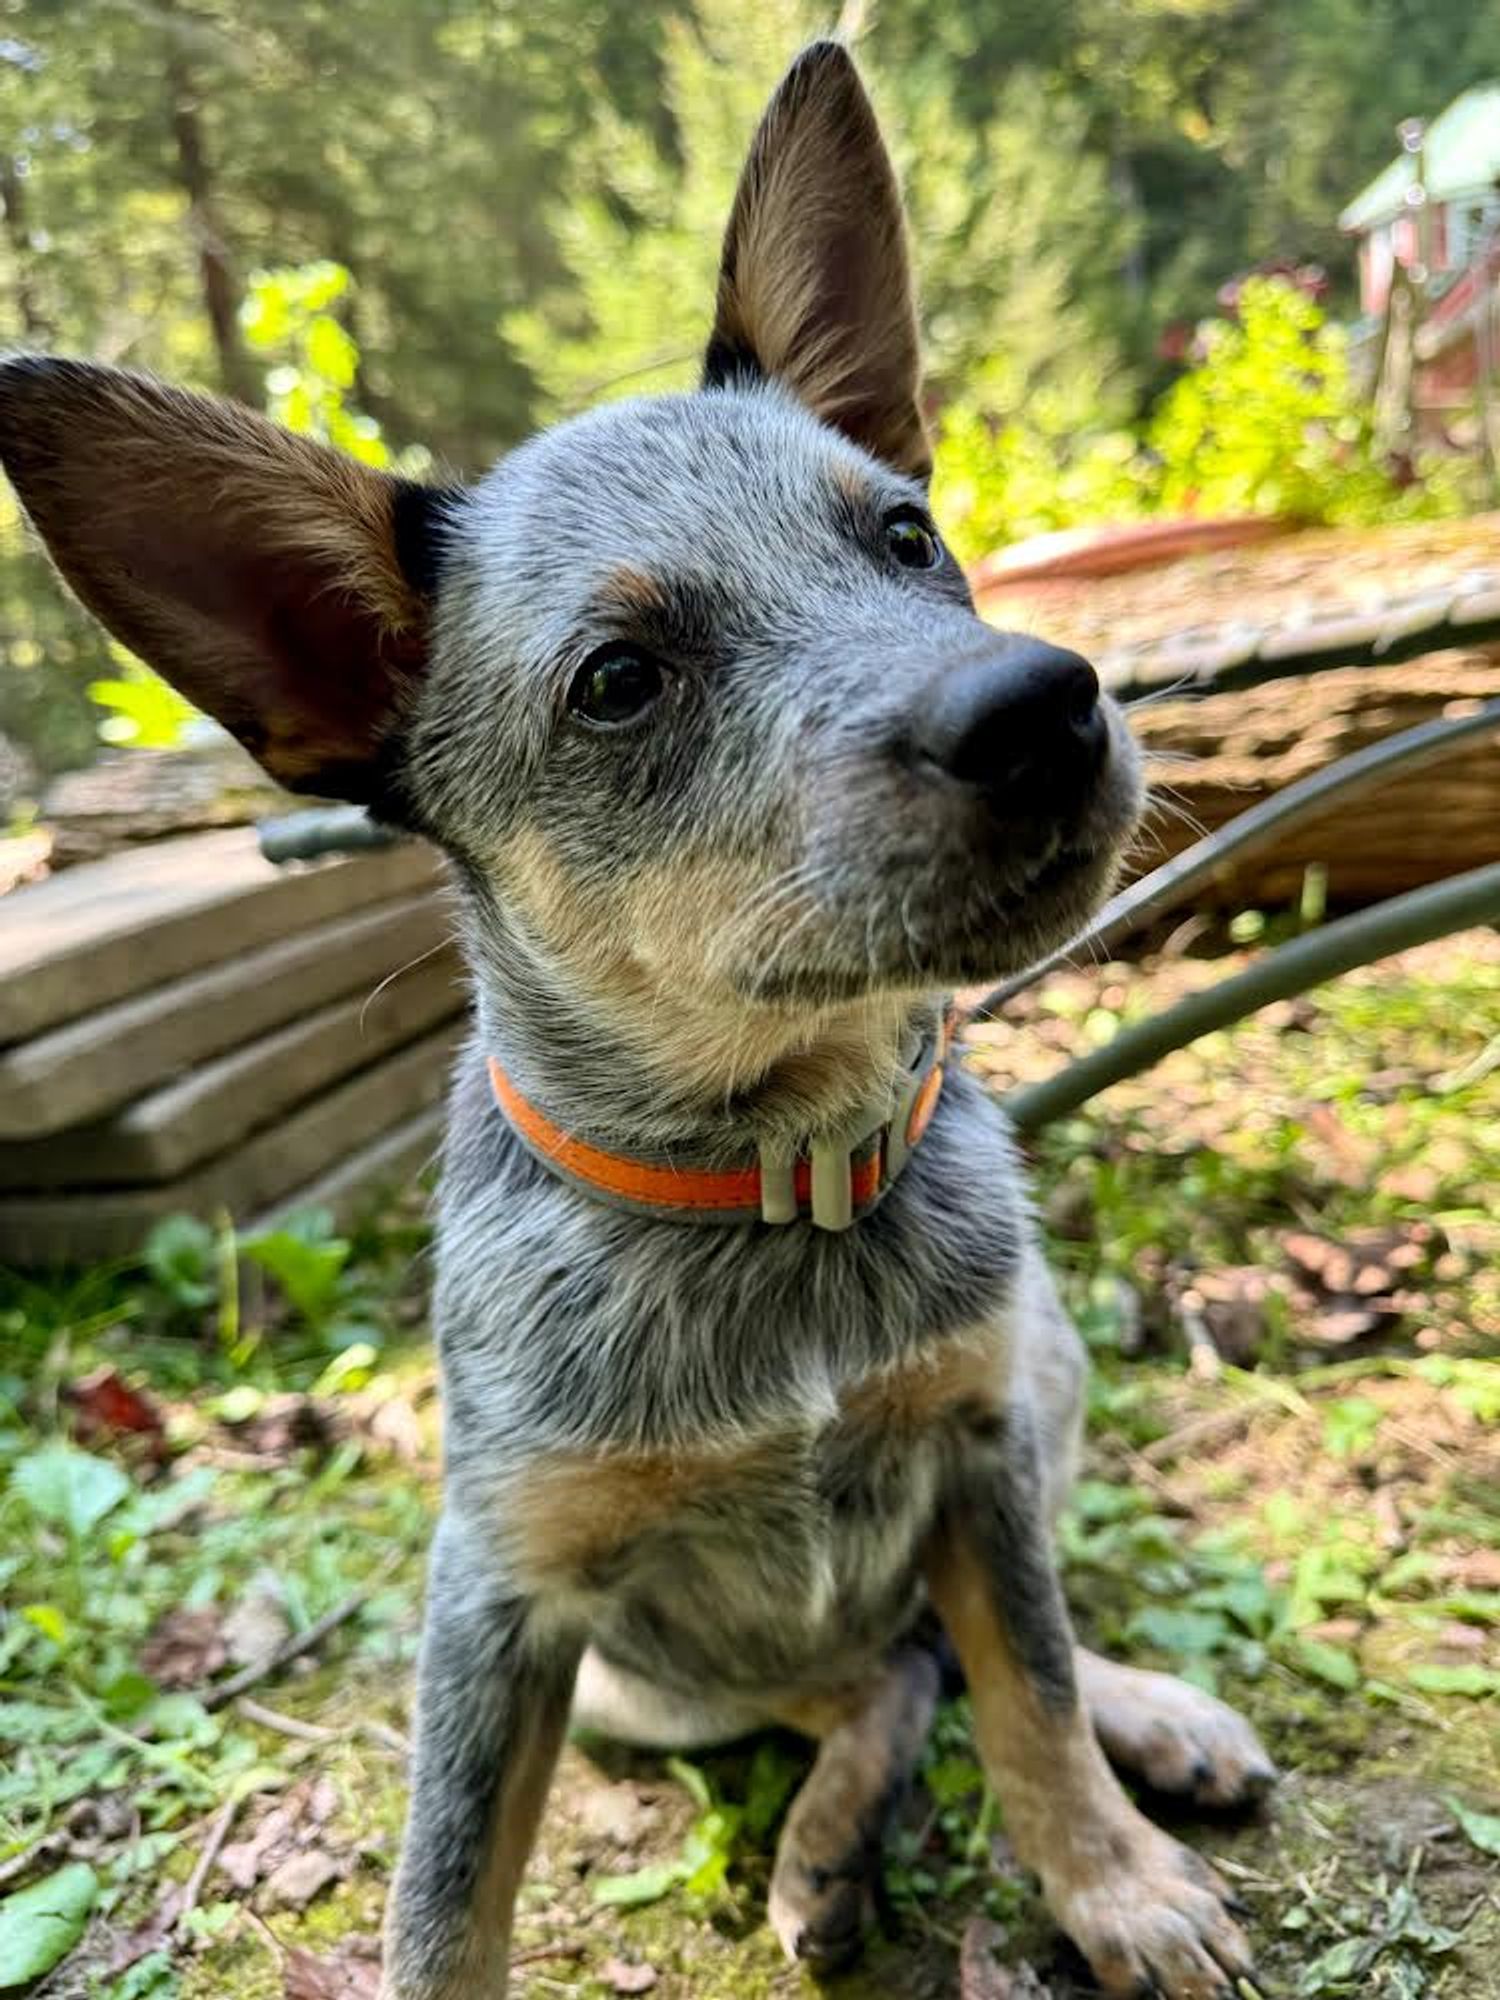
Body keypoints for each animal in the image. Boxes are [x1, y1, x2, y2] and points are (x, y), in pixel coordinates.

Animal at [5, 39, 1288, 1992]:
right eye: (620, 682)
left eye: (909, 535)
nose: (1044, 707)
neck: (778, 1188)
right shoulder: (502, 1597)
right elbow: (447, 1897)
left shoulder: (976, 1442)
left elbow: (1035, 1683)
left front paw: (1109, 1877)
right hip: (642, 1687)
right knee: (868, 1677)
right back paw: (829, 1845)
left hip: (1043, 1381)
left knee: (968, 1645)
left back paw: (1139, 1725)